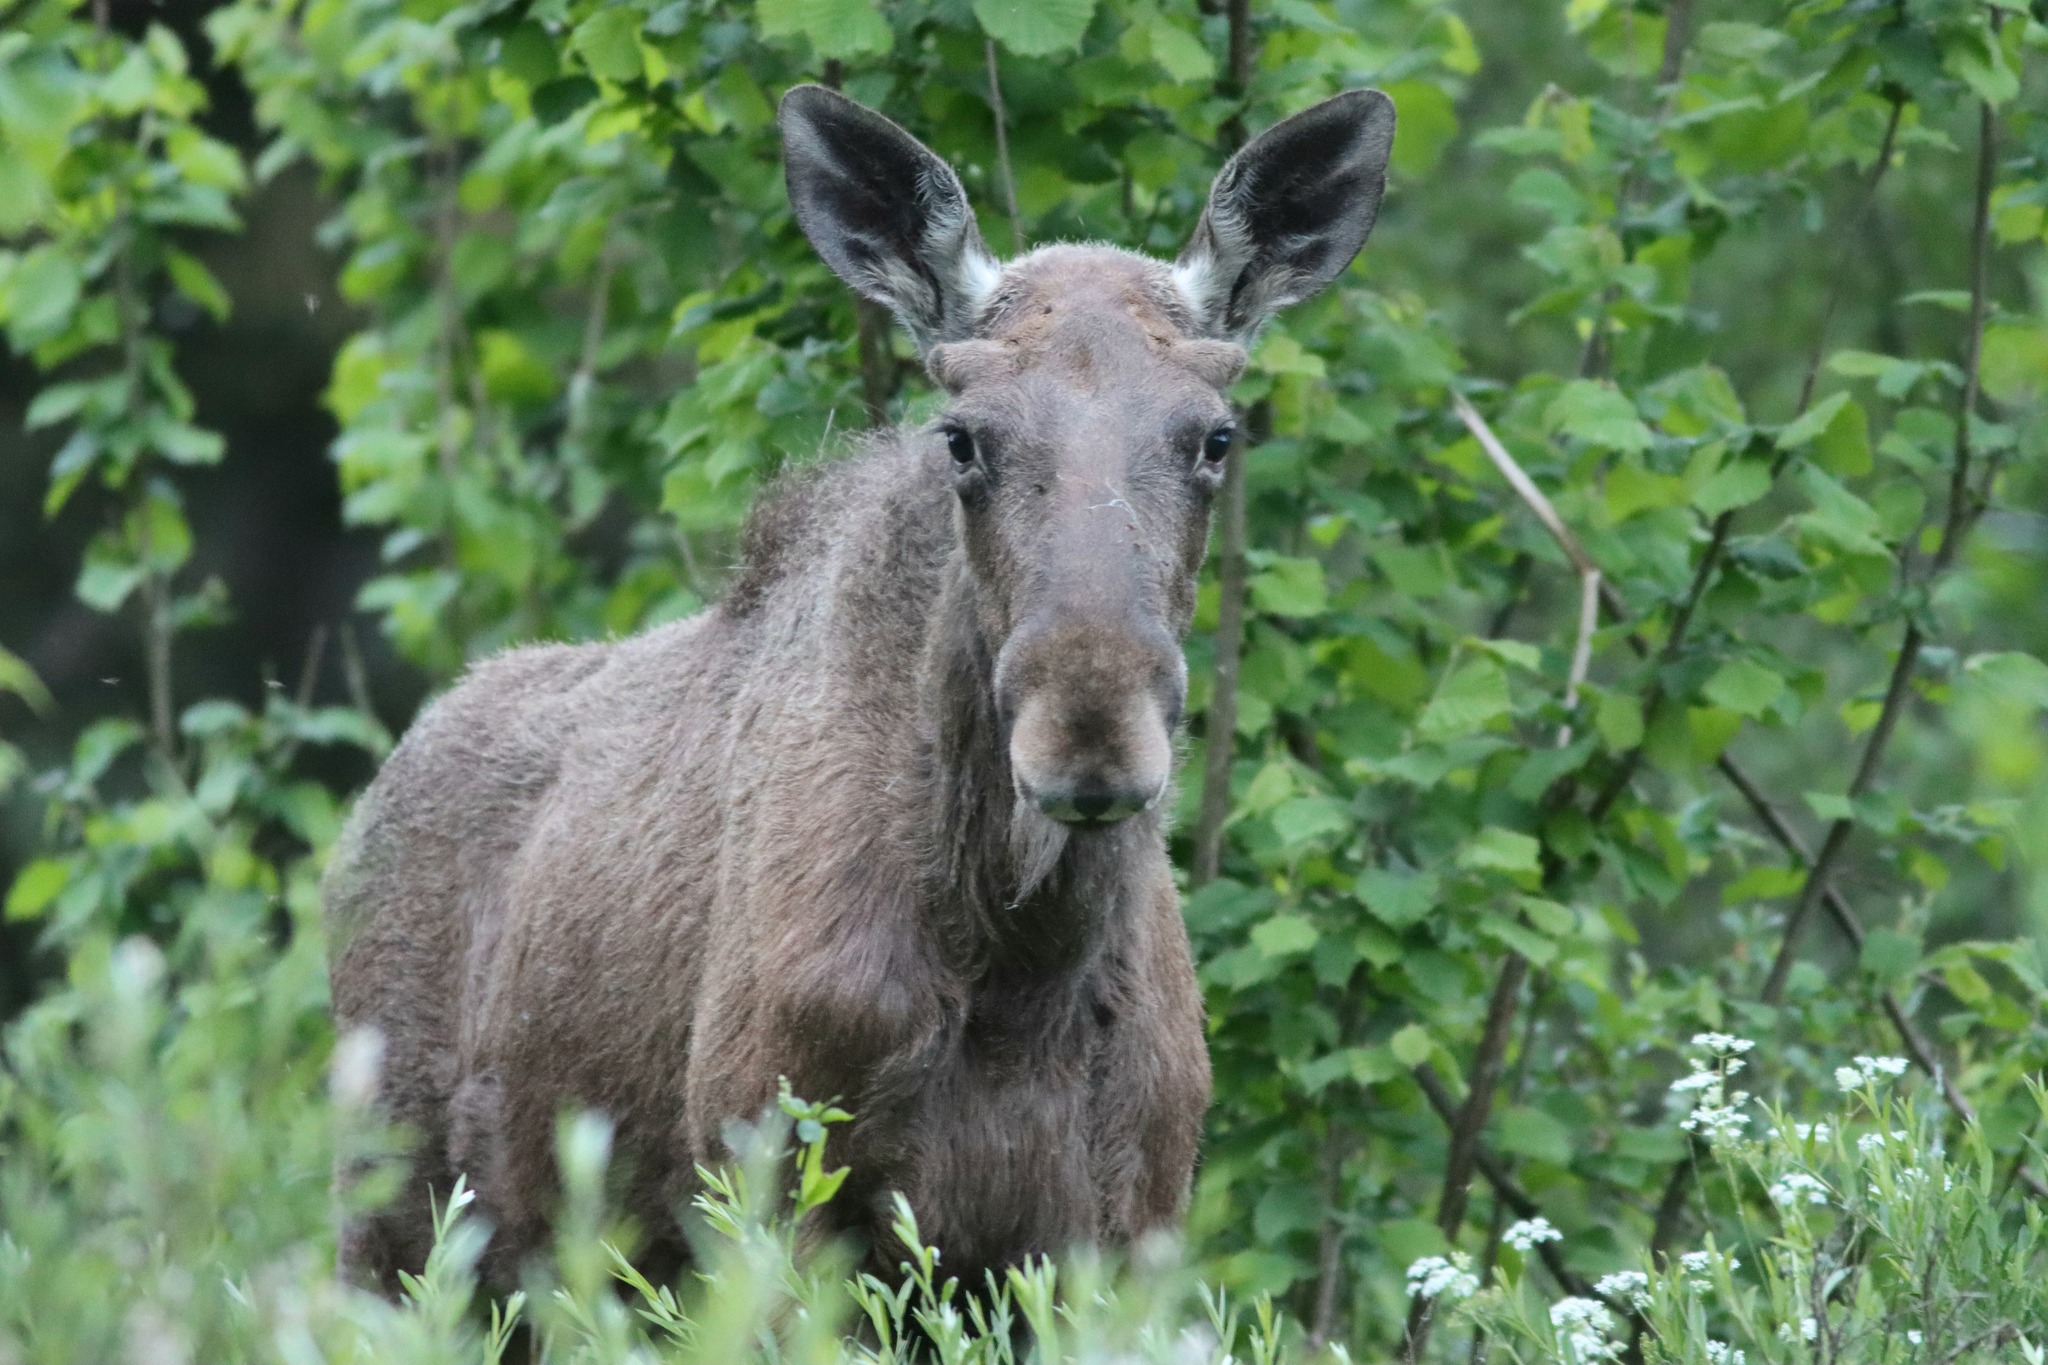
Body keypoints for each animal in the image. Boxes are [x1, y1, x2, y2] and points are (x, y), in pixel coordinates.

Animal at [327, 80, 1400, 1301]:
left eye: (1217, 435)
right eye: (962, 438)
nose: (1089, 735)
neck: (1021, 962)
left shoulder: (1126, 1227)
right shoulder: (776, 1191)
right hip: (394, 1222)